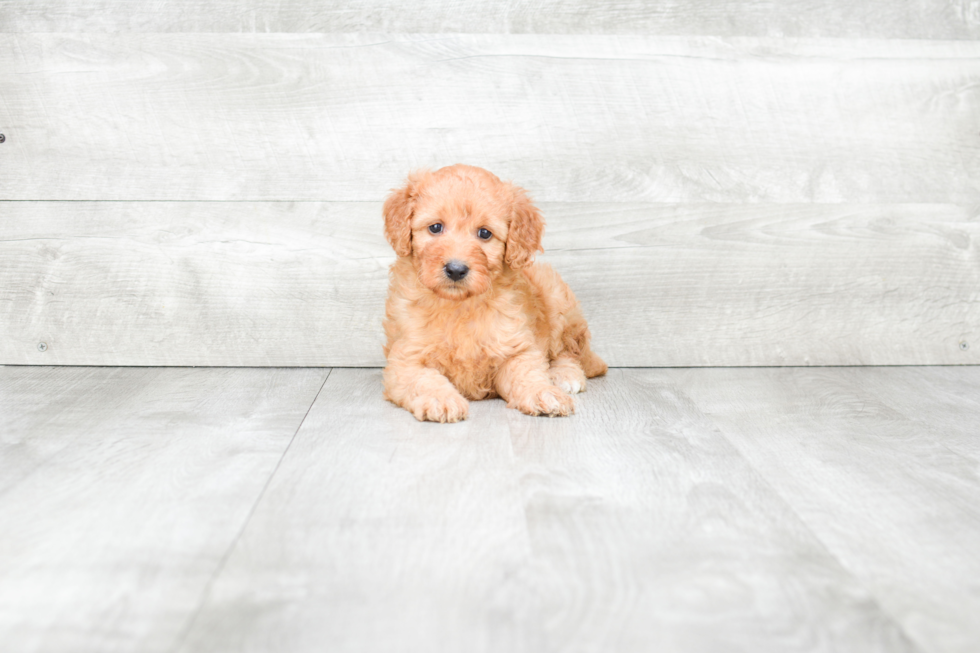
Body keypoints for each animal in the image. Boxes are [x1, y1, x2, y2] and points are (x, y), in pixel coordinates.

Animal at [380, 164, 604, 422]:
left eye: (485, 233)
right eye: (435, 227)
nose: (456, 270)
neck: (460, 305)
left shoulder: (515, 347)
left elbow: (527, 373)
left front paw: (543, 393)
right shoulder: (406, 358)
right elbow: (423, 380)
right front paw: (441, 399)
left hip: (557, 299)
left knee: (568, 350)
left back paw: (566, 376)